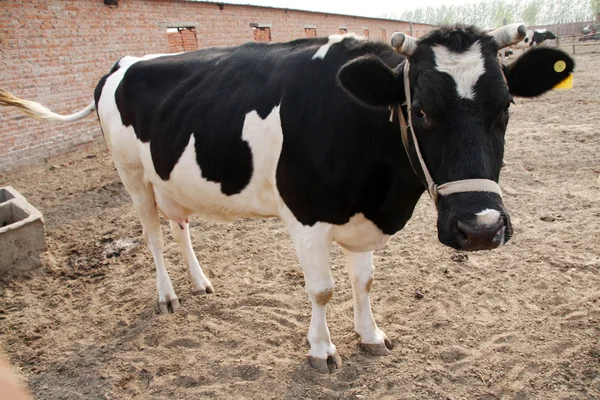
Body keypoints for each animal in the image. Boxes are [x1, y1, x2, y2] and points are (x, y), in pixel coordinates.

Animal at [0, 22, 576, 372]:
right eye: (421, 111)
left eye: (506, 107)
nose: (480, 228)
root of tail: (122, 62)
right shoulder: (305, 215)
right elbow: (322, 290)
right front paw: (322, 350)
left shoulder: (364, 217)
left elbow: (364, 282)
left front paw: (371, 335)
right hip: (132, 175)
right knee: (153, 235)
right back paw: (167, 295)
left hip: (170, 176)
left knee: (180, 226)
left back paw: (200, 283)